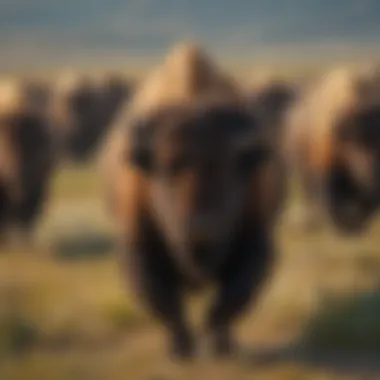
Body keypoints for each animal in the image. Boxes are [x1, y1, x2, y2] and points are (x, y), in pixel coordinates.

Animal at [99, 43, 284, 360]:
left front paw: (220, 345)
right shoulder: (138, 248)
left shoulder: (256, 243)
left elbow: (229, 301)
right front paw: (181, 349)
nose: (199, 230)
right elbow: (165, 302)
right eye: (165, 169)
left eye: (230, 169)